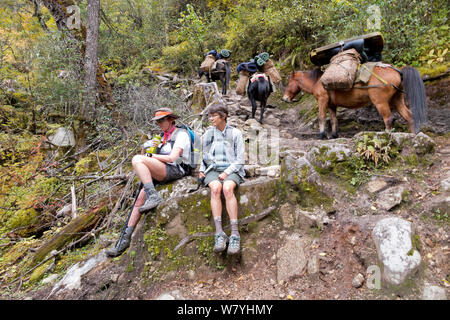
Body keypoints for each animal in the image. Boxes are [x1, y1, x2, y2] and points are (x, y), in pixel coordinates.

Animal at [284, 66, 428, 139]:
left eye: (289, 82)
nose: (284, 98)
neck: (318, 81)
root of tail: (398, 71)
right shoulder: (332, 105)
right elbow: (334, 120)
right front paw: (334, 135)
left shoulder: (322, 101)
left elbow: (321, 117)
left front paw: (322, 135)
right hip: (396, 100)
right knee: (409, 116)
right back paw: (413, 134)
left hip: (380, 102)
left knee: (388, 118)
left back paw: (387, 135)